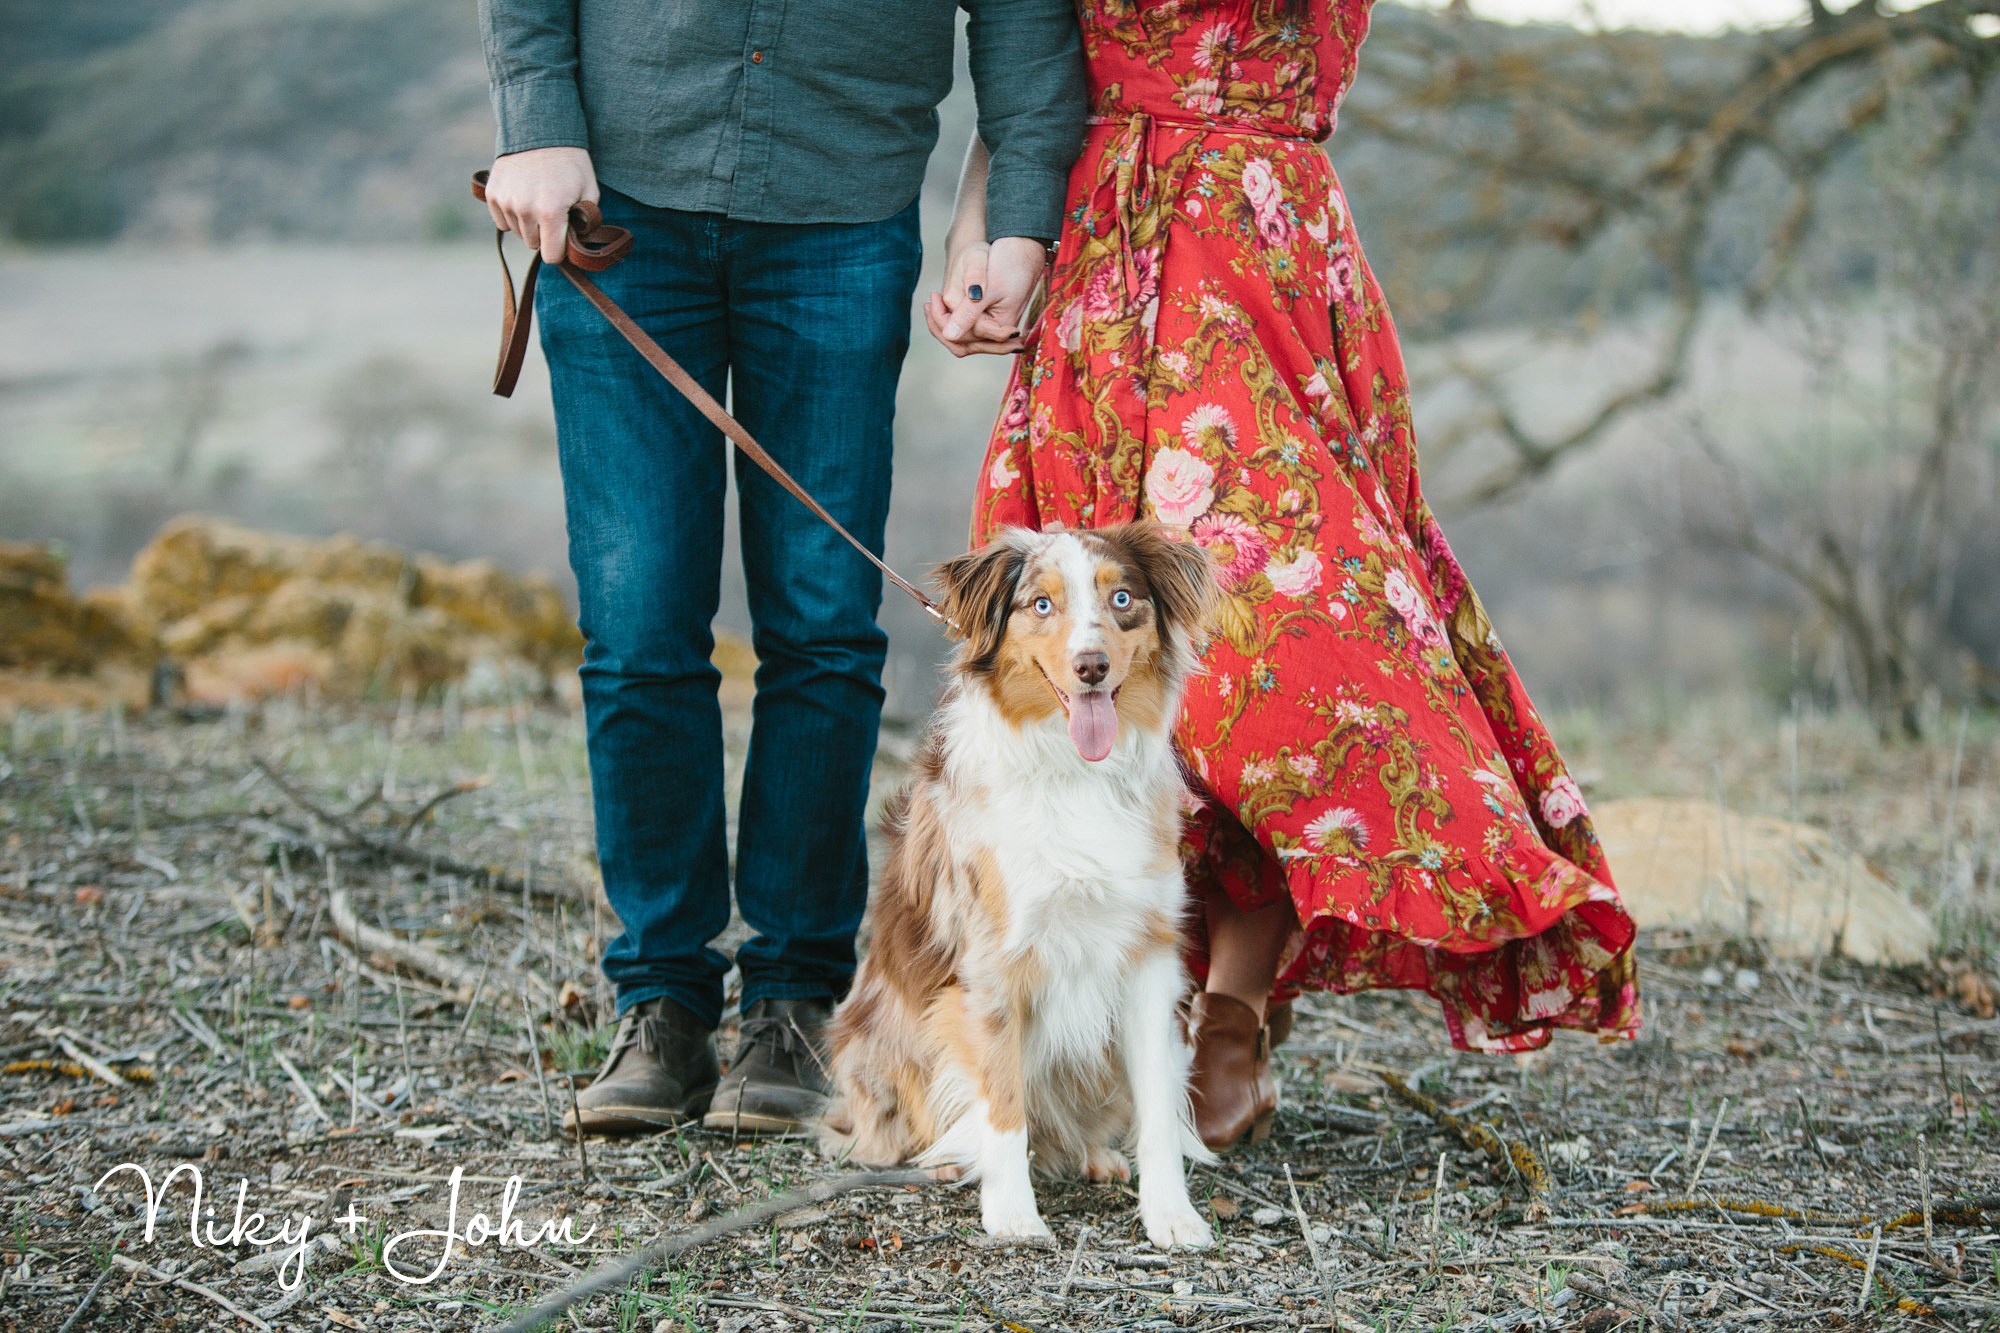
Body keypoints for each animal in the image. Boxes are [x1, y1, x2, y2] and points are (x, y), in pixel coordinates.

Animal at [824, 520, 1216, 1248]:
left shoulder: (1149, 959)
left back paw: (1092, 1153)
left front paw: (1171, 1215)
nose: (1092, 665)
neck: (1077, 771)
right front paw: (1011, 1214)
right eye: (1041, 604)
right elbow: (1003, 1103)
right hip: (884, 1039)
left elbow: (1156, 1109)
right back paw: (947, 1159)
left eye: (1123, 598)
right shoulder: (993, 964)